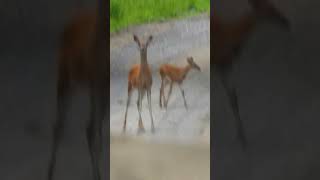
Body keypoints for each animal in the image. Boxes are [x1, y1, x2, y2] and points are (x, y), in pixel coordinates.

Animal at [47, 2, 107, 180]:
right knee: (59, 127)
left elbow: (97, 131)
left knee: (91, 127)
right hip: (65, 75)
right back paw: (50, 173)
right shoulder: (95, 80)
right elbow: (93, 131)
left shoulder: (103, 83)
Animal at [212, 0, 290, 149]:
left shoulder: (225, 66)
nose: (285, 21)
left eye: (273, 5)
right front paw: (242, 138)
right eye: (269, 8)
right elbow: (231, 99)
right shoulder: (221, 66)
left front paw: (241, 137)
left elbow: (233, 98)